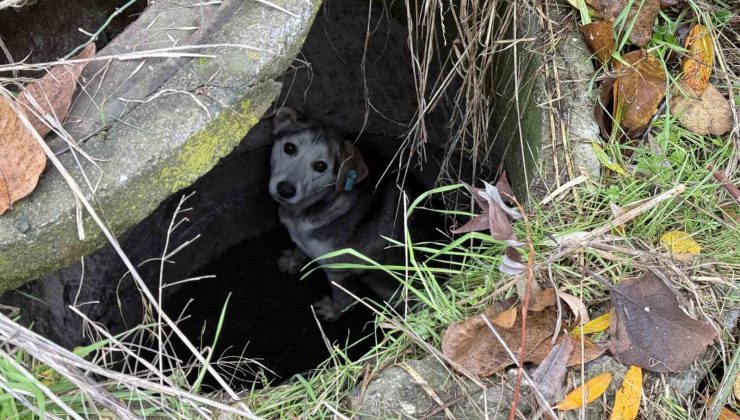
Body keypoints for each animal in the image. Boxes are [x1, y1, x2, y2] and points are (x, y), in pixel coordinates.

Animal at [268, 108, 414, 322]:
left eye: (320, 166)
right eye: (289, 148)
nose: (285, 189)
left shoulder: (339, 271)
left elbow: (344, 300)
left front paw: (333, 312)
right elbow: (299, 248)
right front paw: (293, 260)